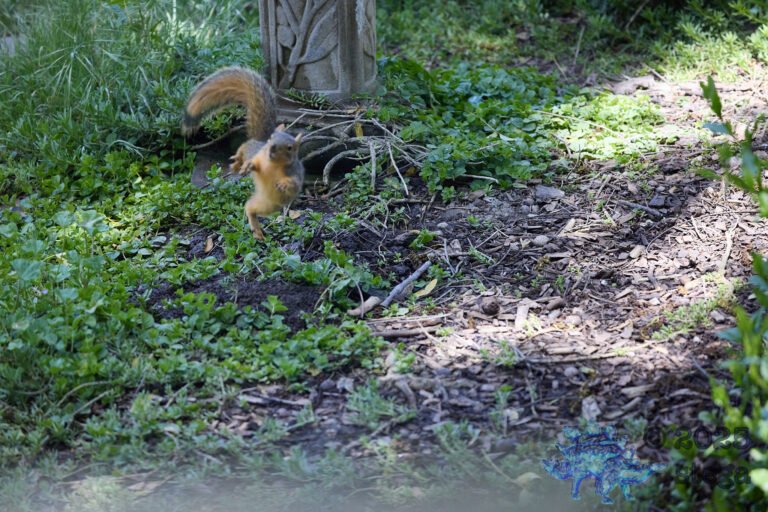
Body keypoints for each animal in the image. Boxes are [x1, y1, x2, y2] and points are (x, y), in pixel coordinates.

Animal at [182, 66, 304, 240]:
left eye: (289, 148)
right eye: (272, 139)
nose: (271, 147)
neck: (272, 165)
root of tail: (259, 139)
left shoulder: (295, 173)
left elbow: (294, 184)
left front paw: (284, 183)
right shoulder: (260, 157)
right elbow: (255, 163)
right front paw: (248, 165)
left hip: (267, 205)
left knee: (250, 207)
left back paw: (257, 229)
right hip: (250, 151)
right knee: (242, 150)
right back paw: (237, 162)